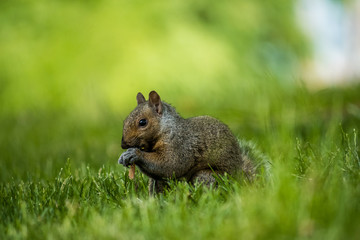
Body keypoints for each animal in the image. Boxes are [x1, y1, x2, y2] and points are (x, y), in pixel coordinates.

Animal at [119, 91, 258, 194]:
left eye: (143, 122)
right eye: (125, 120)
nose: (123, 145)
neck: (166, 129)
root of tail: (240, 178)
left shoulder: (180, 146)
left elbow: (169, 164)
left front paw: (134, 154)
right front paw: (123, 157)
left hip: (209, 176)